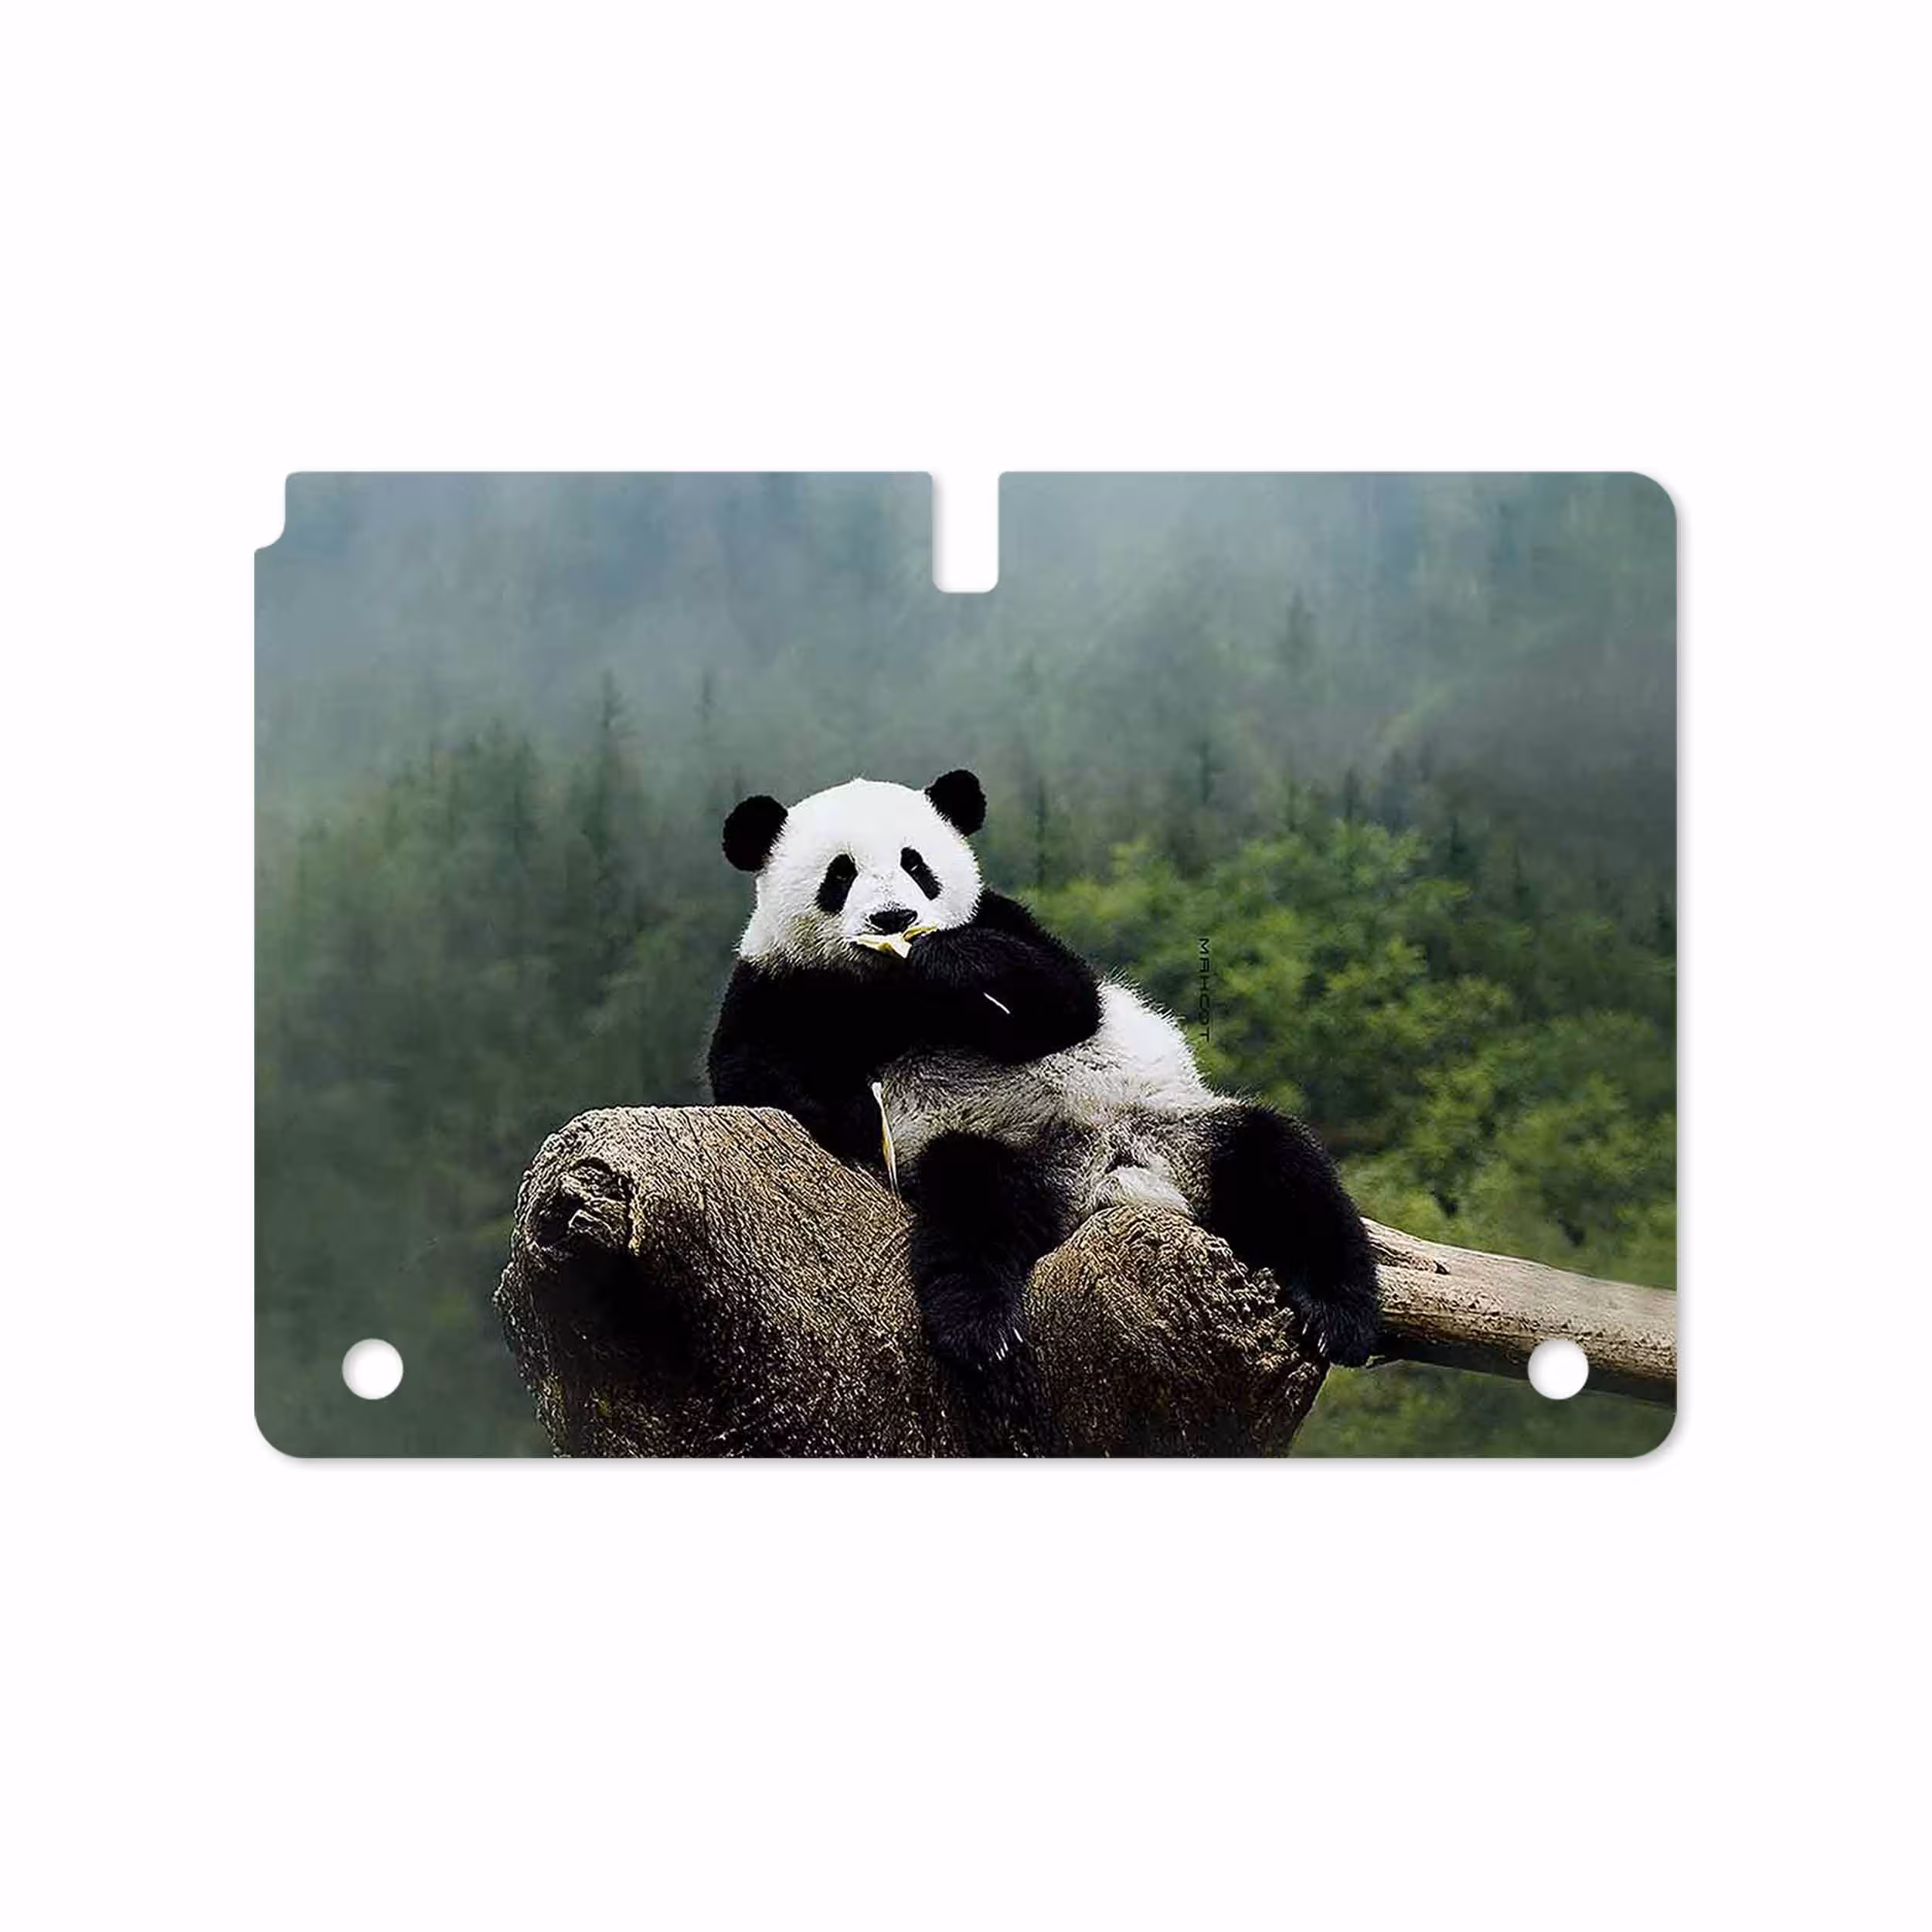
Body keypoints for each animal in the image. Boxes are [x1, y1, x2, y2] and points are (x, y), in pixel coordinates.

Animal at [706, 769, 1381, 1373]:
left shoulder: (1003, 920)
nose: (894, 919)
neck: (889, 989)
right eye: (840, 874)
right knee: (974, 1205)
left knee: (1282, 1165)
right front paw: (853, 1113)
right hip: (999, 1151)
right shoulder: (777, 982)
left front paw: (949, 960)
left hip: (1179, 1129)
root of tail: (1107, 1176)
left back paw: (1339, 1316)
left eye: (916, 865)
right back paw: (979, 1328)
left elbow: (1068, 1000)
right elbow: (749, 1072)